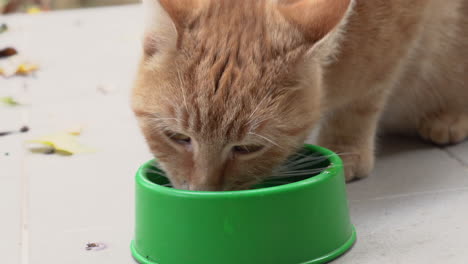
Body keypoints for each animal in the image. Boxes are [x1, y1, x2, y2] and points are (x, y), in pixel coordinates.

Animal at [131, 0, 468, 190]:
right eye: (177, 137)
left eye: (248, 148)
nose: (204, 190)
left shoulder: (396, 35)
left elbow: (361, 101)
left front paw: (347, 150)